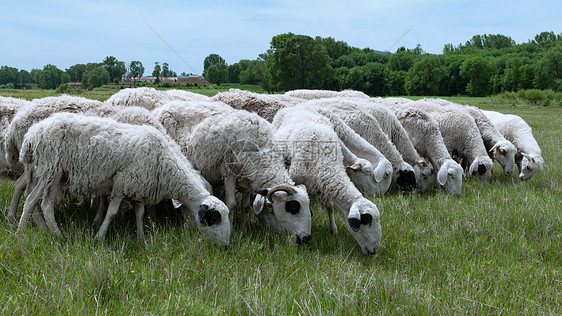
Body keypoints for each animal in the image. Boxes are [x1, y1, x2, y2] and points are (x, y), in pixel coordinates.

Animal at [18, 113, 230, 244]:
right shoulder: (122, 184)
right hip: (51, 170)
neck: (164, 163)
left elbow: (140, 213)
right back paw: (42, 233)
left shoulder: (140, 186)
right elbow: (111, 213)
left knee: (38, 202)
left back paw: (36, 231)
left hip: (52, 173)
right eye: (214, 219)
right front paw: (99, 237)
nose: (226, 246)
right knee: (38, 202)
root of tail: (32, 135)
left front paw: (141, 238)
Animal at [151, 101, 312, 244]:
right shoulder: (228, 173)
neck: (261, 149)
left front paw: (245, 229)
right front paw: (233, 230)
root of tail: (161, 108)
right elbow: (232, 204)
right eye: (293, 208)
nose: (306, 239)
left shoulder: (247, 179)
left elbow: (245, 205)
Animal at [270, 105, 380, 254]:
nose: (375, 250)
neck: (324, 159)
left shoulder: (324, 183)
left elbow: (330, 207)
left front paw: (333, 230)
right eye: (367, 221)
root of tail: (296, 106)